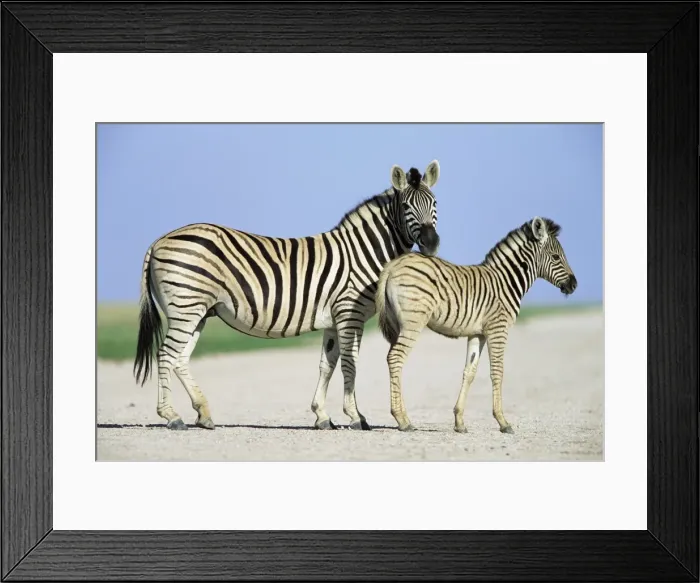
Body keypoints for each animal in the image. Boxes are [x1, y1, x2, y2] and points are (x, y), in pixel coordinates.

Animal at [133, 160, 441, 431]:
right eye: (406, 206)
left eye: (435, 204)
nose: (431, 243)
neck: (362, 251)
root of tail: (158, 240)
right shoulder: (349, 313)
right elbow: (350, 364)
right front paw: (356, 417)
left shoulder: (333, 320)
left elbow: (327, 365)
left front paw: (322, 416)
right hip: (186, 307)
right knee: (166, 354)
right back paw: (172, 416)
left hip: (196, 311)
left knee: (179, 359)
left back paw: (203, 414)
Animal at [375, 216, 577, 433]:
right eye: (556, 257)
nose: (574, 285)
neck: (506, 283)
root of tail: (393, 265)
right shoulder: (498, 329)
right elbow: (497, 372)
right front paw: (503, 422)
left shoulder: (477, 334)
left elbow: (469, 372)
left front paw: (459, 422)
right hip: (413, 322)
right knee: (396, 358)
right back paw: (402, 420)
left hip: (397, 324)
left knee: (394, 360)